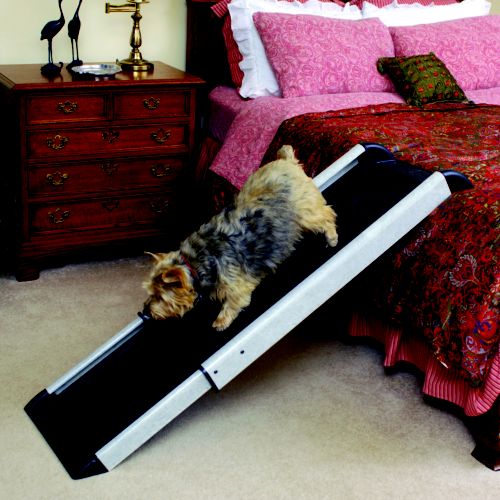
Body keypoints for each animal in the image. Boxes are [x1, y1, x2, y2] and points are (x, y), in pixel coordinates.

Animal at [143, 145, 338, 331]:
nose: (144, 313)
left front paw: (221, 321)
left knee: (326, 214)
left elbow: (234, 302)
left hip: (305, 211)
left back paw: (332, 237)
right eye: (150, 293)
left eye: (160, 297)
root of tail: (286, 161)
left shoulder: (236, 285)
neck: (196, 261)